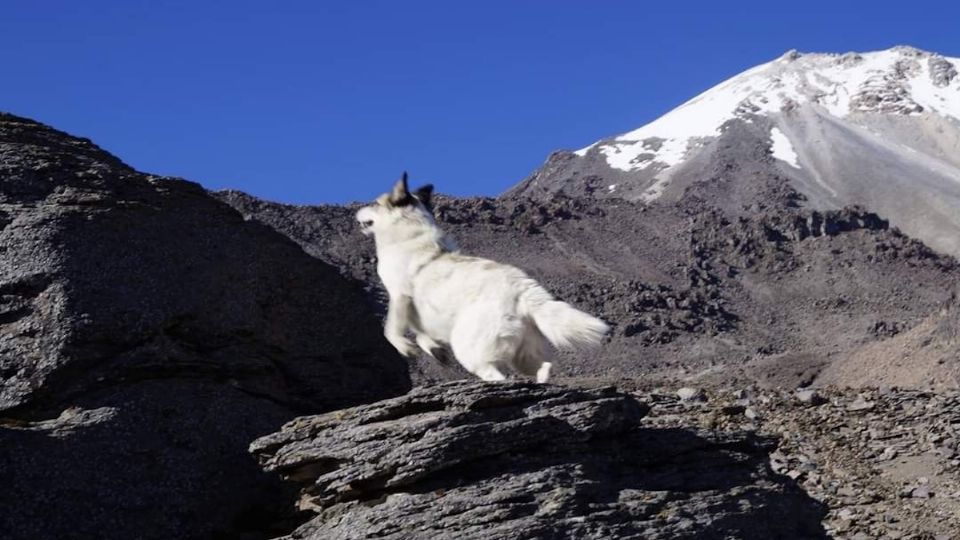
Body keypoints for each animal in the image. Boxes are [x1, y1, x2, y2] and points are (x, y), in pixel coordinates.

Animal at [356, 175, 612, 382]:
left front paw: (405, 347)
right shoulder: (419, 314)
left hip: (470, 348)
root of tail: (523, 290)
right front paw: (435, 351)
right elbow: (421, 335)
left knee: (496, 375)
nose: (357, 212)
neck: (408, 231)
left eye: (376, 203)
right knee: (544, 367)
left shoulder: (399, 296)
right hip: (523, 354)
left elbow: (391, 330)